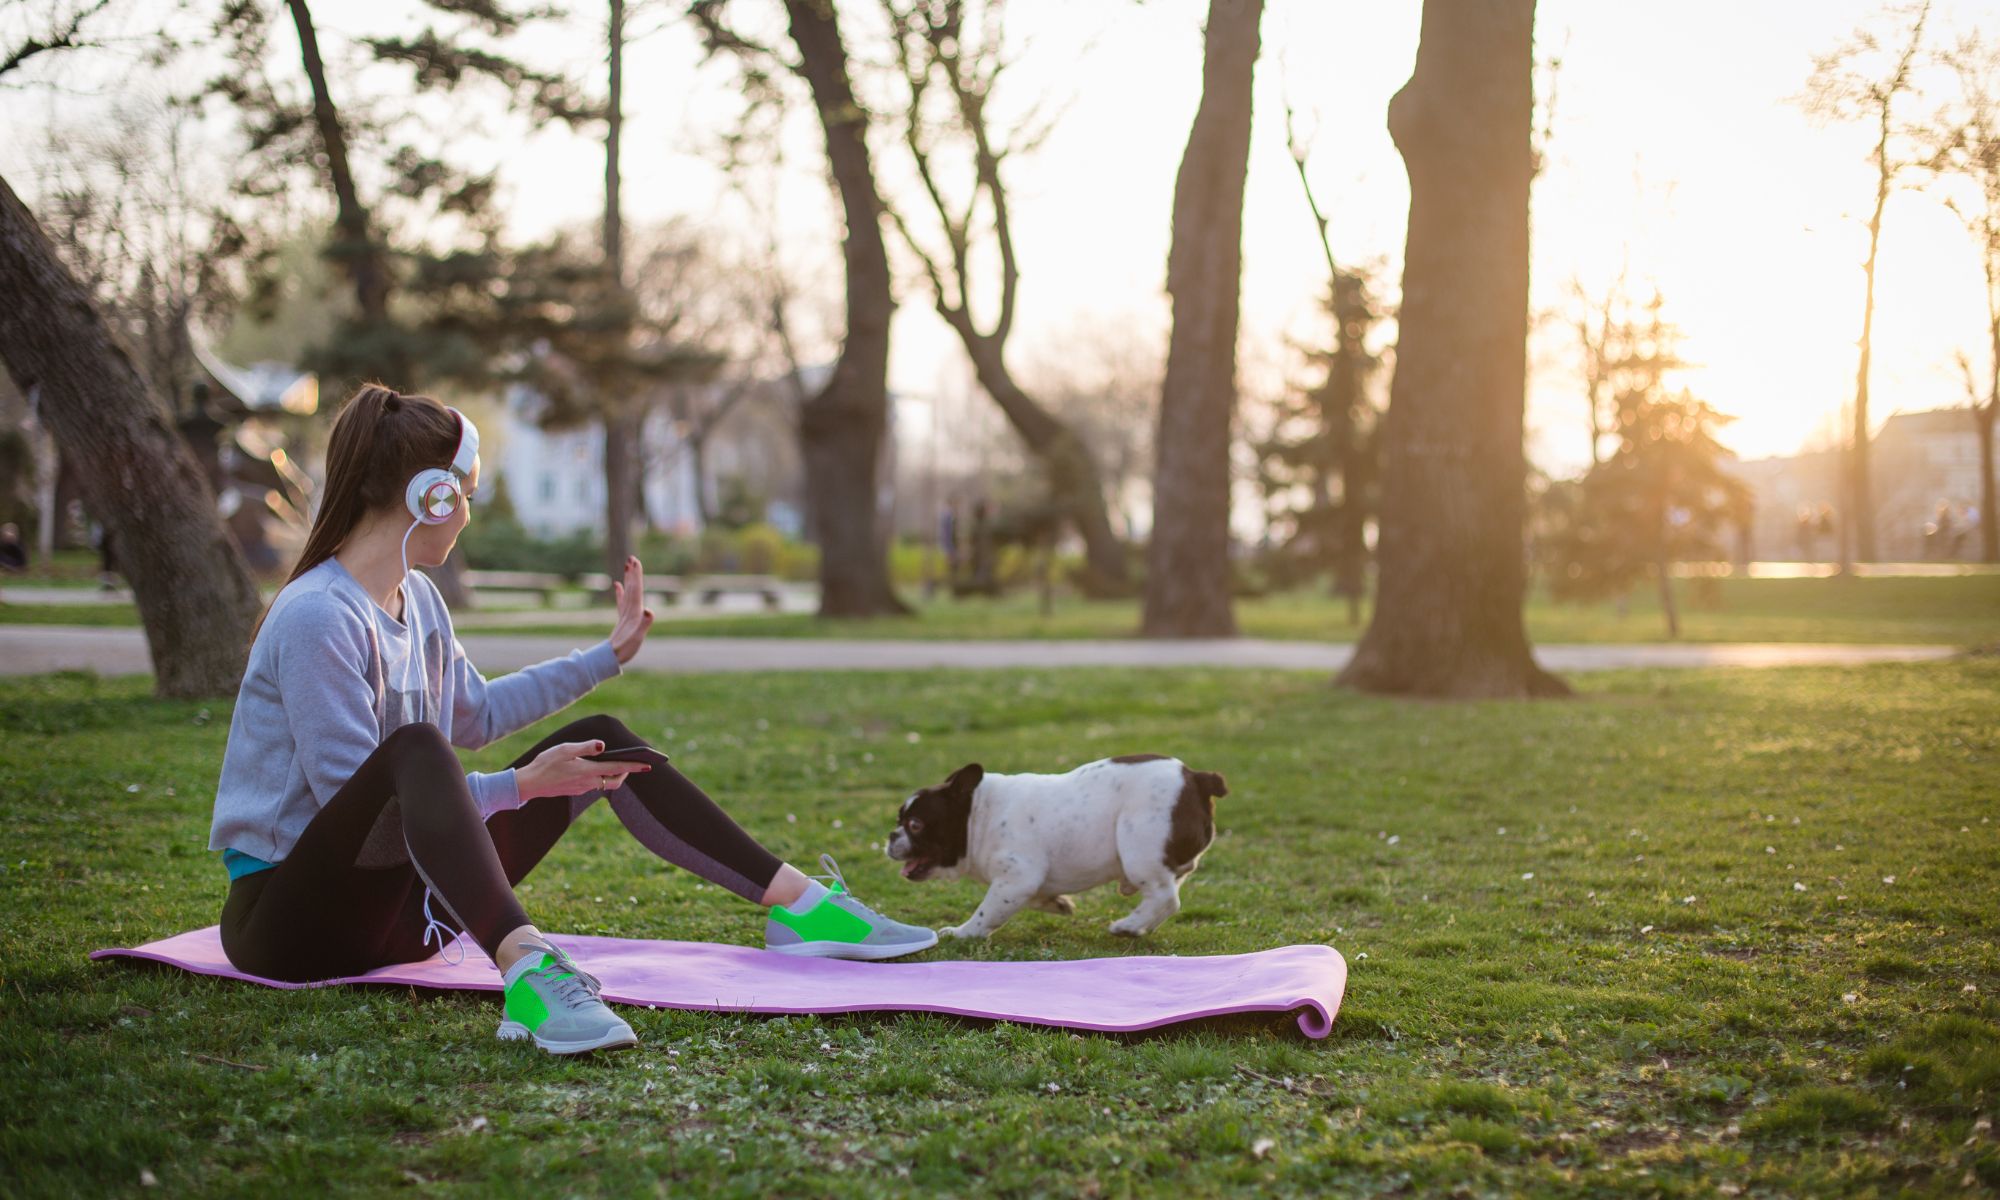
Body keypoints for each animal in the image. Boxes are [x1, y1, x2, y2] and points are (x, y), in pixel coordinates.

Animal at [888, 760, 1224, 936]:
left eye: (916, 824)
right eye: (899, 819)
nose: (891, 835)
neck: (978, 814)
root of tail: (1196, 779)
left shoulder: (1016, 879)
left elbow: (987, 911)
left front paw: (962, 933)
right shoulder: (1025, 884)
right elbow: (1035, 898)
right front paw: (1058, 904)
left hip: (1140, 848)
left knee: (1166, 897)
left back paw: (1128, 925)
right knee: (1171, 884)